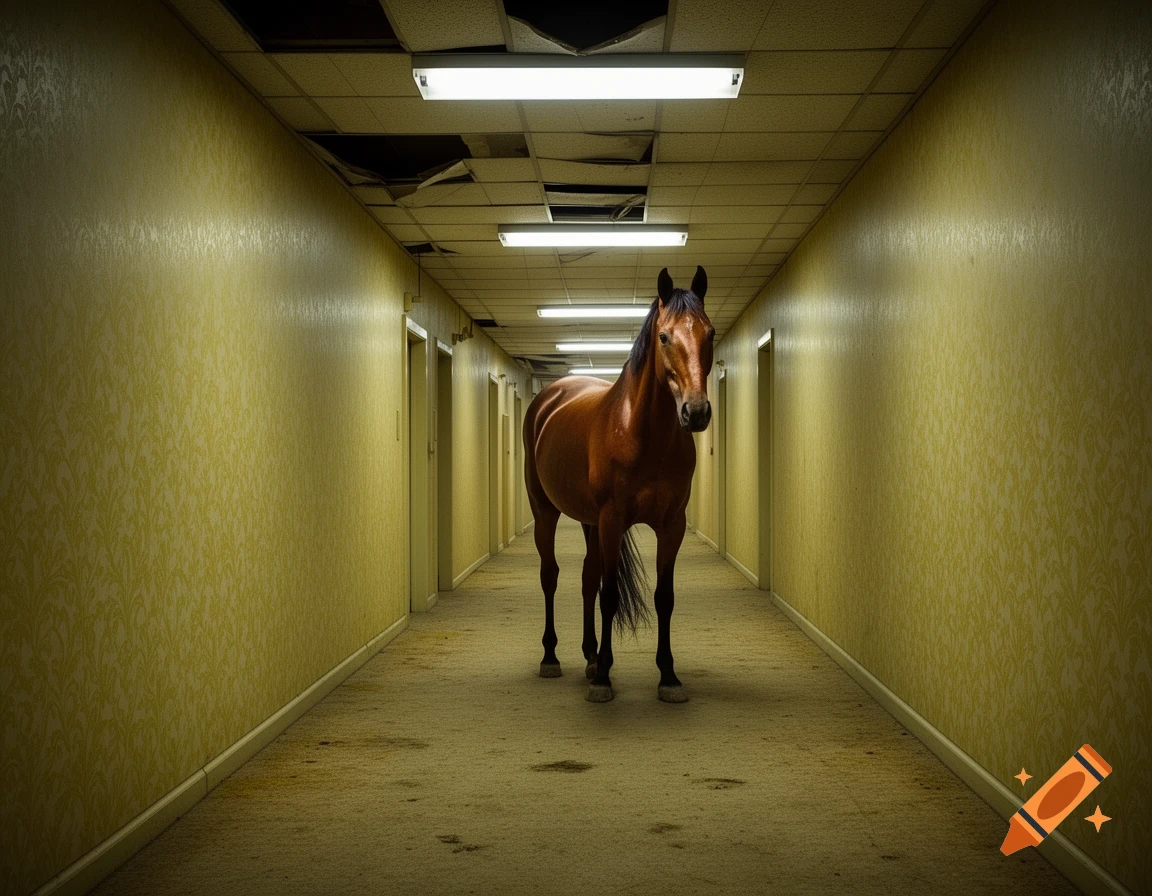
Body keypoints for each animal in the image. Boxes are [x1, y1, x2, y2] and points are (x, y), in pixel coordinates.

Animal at [522, 266, 714, 703]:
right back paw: (551, 657)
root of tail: (550, 396)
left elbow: (664, 597)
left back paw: (591, 656)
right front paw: (605, 680)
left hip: (589, 520)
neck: (643, 434)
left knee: (586, 578)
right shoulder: (612, 521)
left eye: (709, 333)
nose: (695, 412)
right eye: (664, 337)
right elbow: (609, 595)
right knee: (551, 575)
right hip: (546, 512)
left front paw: (668, 676)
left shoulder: (671, 526)